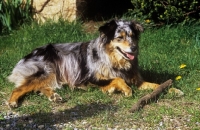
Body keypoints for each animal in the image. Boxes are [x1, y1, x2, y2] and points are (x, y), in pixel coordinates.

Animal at [7, 19, 159, 106]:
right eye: (120, 37)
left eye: (132, 36)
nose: (134, 48)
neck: (116, 61)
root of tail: (27, 55)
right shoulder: (90, 78)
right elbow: (117, 79)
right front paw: (125, 89)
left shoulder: (137, 80)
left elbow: (155, 85)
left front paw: (164, 89)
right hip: (47, 70)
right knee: (19, 88)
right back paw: (12, 102)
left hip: (52, 75)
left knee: (39, 87)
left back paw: (54, 96)